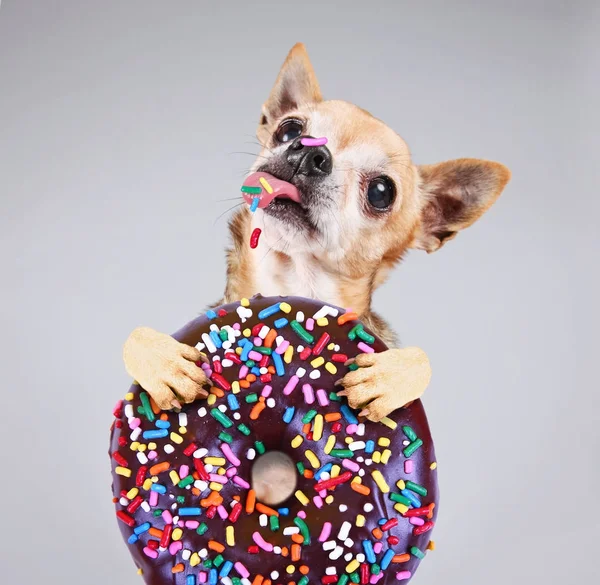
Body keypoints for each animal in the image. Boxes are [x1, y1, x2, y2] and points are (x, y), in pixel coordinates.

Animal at [122, 42, 510, 424]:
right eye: (290, 130)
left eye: (381, 192)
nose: (311, 152)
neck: (291, 283)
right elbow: (133, 336)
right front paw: (165, 363)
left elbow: (421, 359)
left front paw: (387, 378)